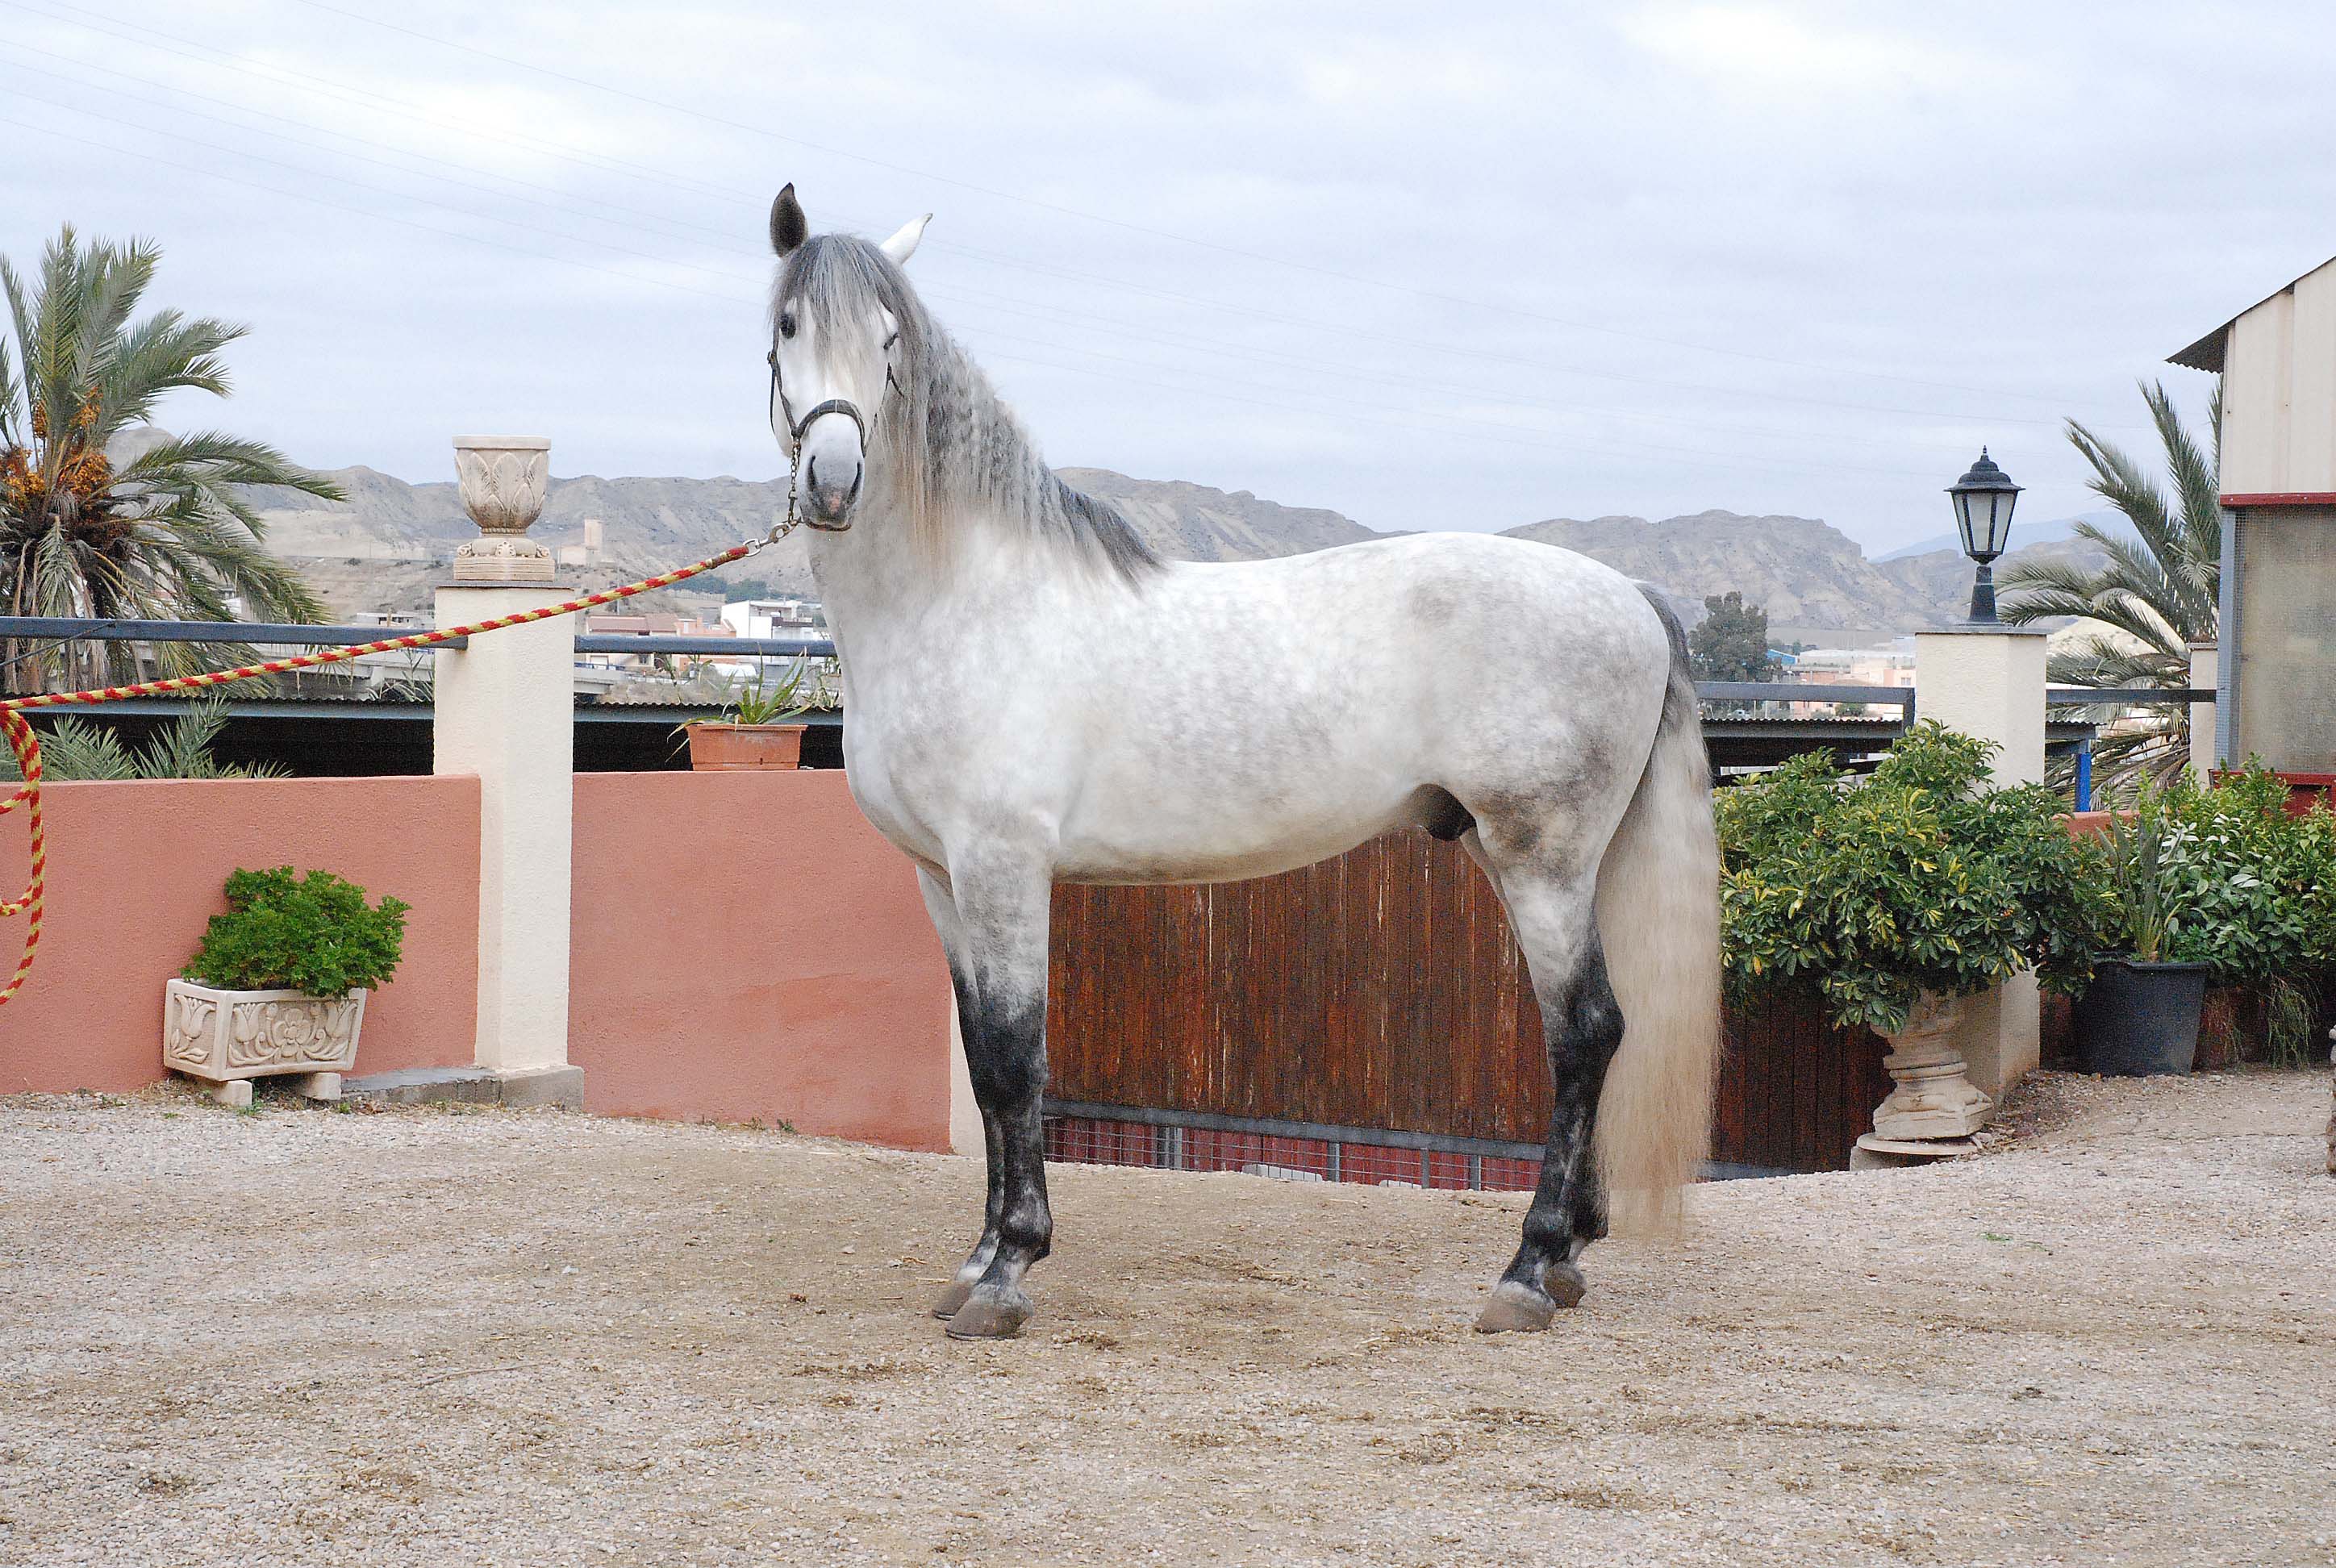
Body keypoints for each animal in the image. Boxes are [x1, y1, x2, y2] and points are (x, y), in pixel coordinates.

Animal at [761, 184, 1719, 1337]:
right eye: (787, 326)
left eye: (891, 339)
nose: (834, 479)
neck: (958, 604)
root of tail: (1634, 598)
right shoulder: (941, 880)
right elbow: (985, 1067)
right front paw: (979, 1258)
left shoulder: (1004, 868)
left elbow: (1016, 1057)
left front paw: (1008, 1273)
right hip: (1535, 858)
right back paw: (1569, 1256)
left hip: (1546, 860)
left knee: (1583, 1036)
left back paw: (1527, 1272)